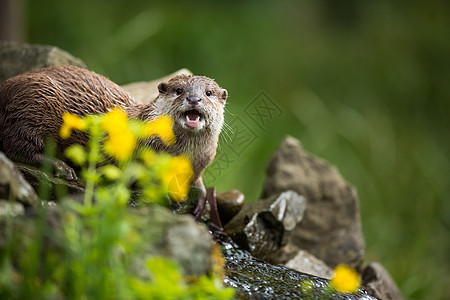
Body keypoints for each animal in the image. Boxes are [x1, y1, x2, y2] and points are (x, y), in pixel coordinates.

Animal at [0, 65, 227, 197]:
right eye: (179, 90)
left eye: (208, 93)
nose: (194, 98)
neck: (182, 154)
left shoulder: (201, 160)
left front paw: (201, 192)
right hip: (34, 103)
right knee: (18, 147)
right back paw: (61, 166)